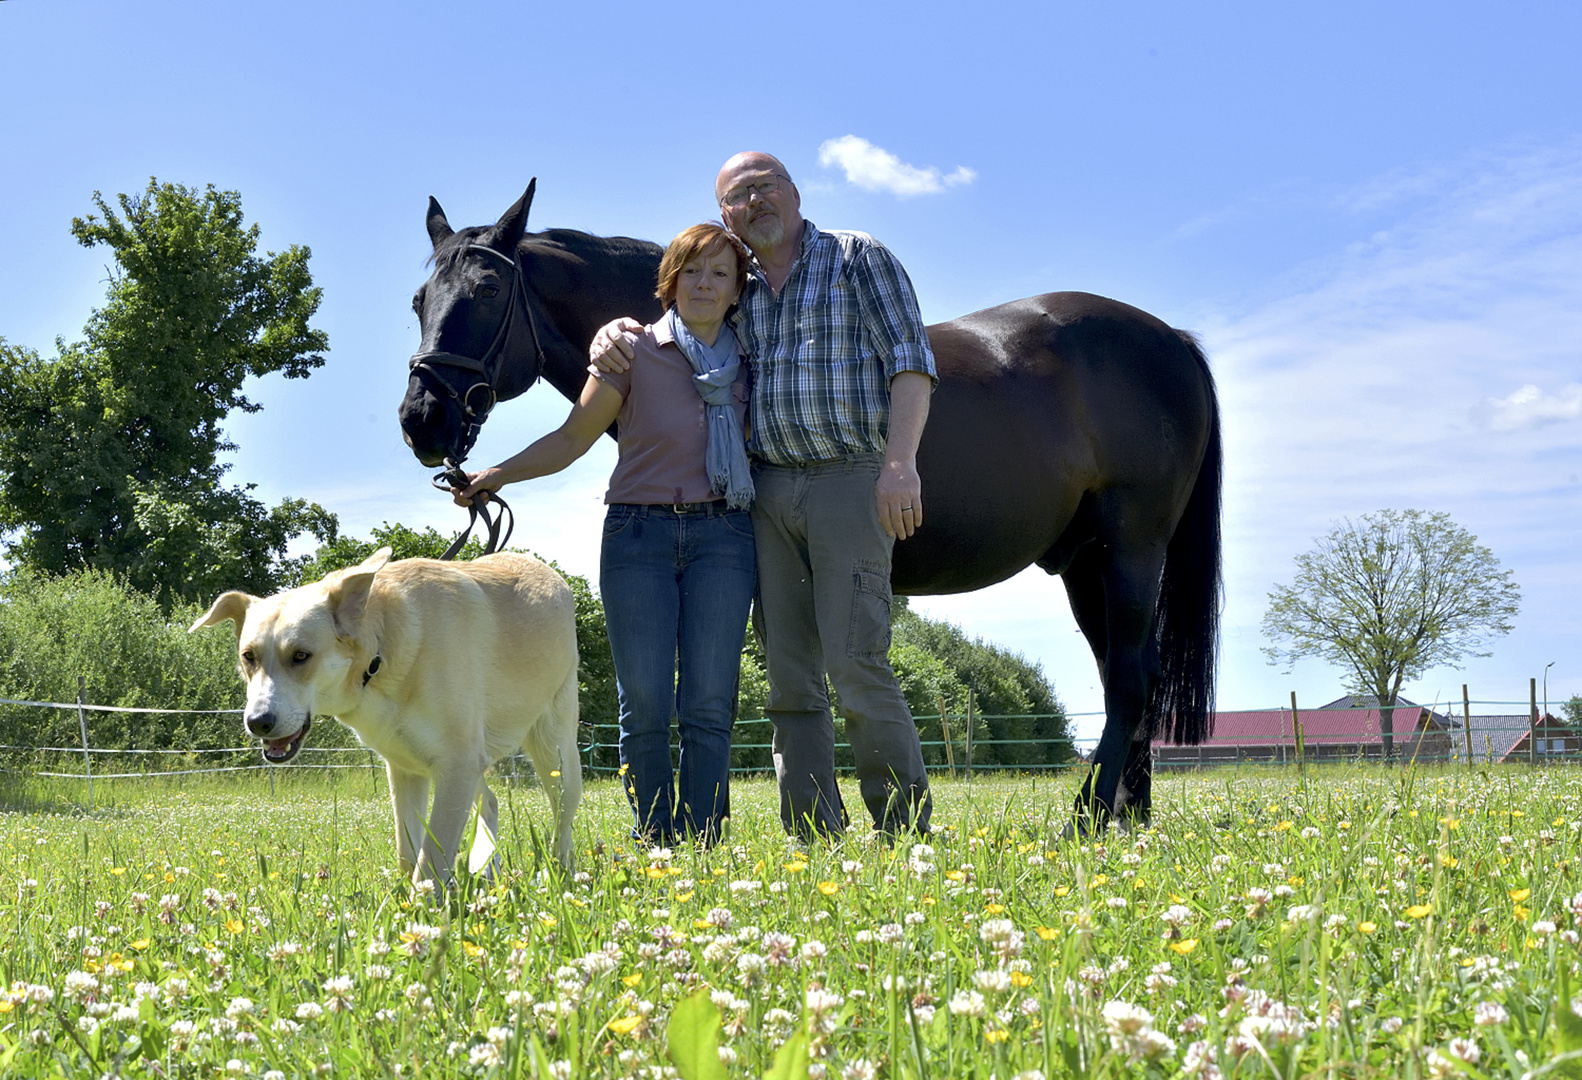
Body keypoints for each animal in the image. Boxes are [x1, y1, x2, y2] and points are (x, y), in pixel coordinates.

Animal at [188, 543, 579, 885]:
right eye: (248, 656)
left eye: (301, 656)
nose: (258, 722)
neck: (380, 655)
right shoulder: (409, 769)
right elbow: (408, 852)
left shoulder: (456, 766)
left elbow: (429, 862)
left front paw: (424, 912)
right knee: (492, 801)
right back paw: (487, 868)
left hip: (555, 755)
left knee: (562, 820)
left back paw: (560, 875)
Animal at [395, 185, 1221, 828]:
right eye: (419, 300)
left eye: (489, 293)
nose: (421, 418)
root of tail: (1171, 341)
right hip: (1087, 565)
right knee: (1129, 677)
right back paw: (1129, 813)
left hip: (1132, 549)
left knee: (1131, 679)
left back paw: (1089, 816)